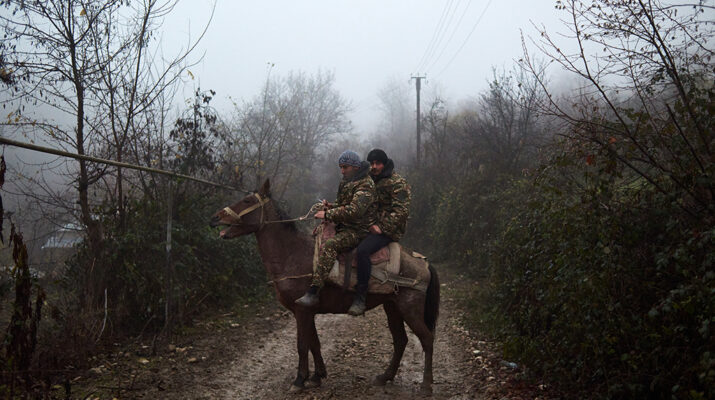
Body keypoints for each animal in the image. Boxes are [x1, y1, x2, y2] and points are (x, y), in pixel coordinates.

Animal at [209, 179, 440, 394]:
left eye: (248, 201)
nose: (215, 218)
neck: (291, 255)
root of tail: (423, 262)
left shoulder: (302, 310)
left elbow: (302, 345)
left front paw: (299, 380)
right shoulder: (306, 310)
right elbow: (314, 343)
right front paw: (317, 376)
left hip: (409, 309)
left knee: (427, 339)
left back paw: (426, 385)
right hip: (392, 307)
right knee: (401, 340)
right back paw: (385, 377)